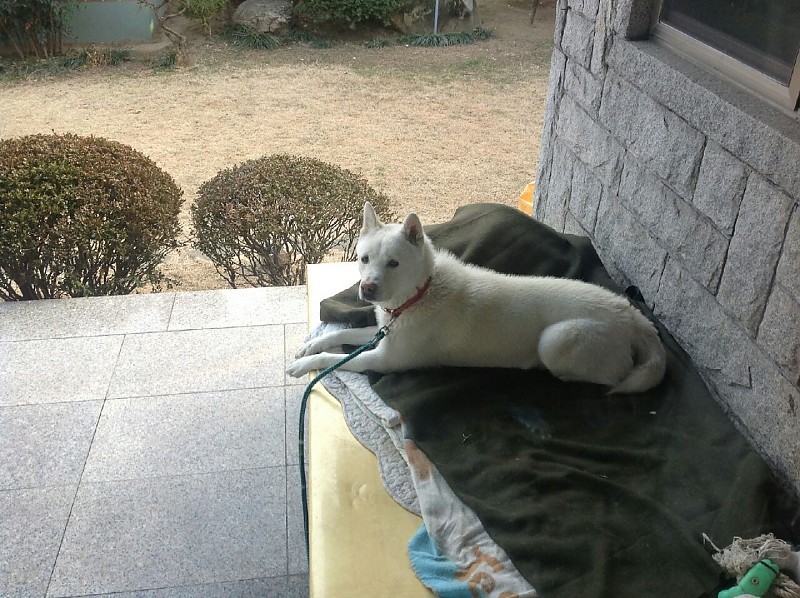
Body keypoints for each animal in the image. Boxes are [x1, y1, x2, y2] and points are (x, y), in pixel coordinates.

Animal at [287, 203, 667, 394]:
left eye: (393, 263)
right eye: (364, 259)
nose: (366, 289)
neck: (421, 293)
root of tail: (633, 317)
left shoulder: (385, 358)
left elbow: (336, 360)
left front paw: (307, 364)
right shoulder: (385, 333)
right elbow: (344, 333)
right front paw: (311, 346)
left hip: (556, 340)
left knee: (610, 378)